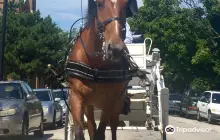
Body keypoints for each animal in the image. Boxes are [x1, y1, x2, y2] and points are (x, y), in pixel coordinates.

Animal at [66, 0, 140, 140]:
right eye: (99, 4)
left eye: (125, 5)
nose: (115, 49)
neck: (96, 64)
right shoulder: (76, 95)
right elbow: (80, 131)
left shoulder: (110, 100)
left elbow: (100, 133)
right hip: (89, 105)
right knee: (91, 125)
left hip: (117, 105)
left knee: (114, 127)